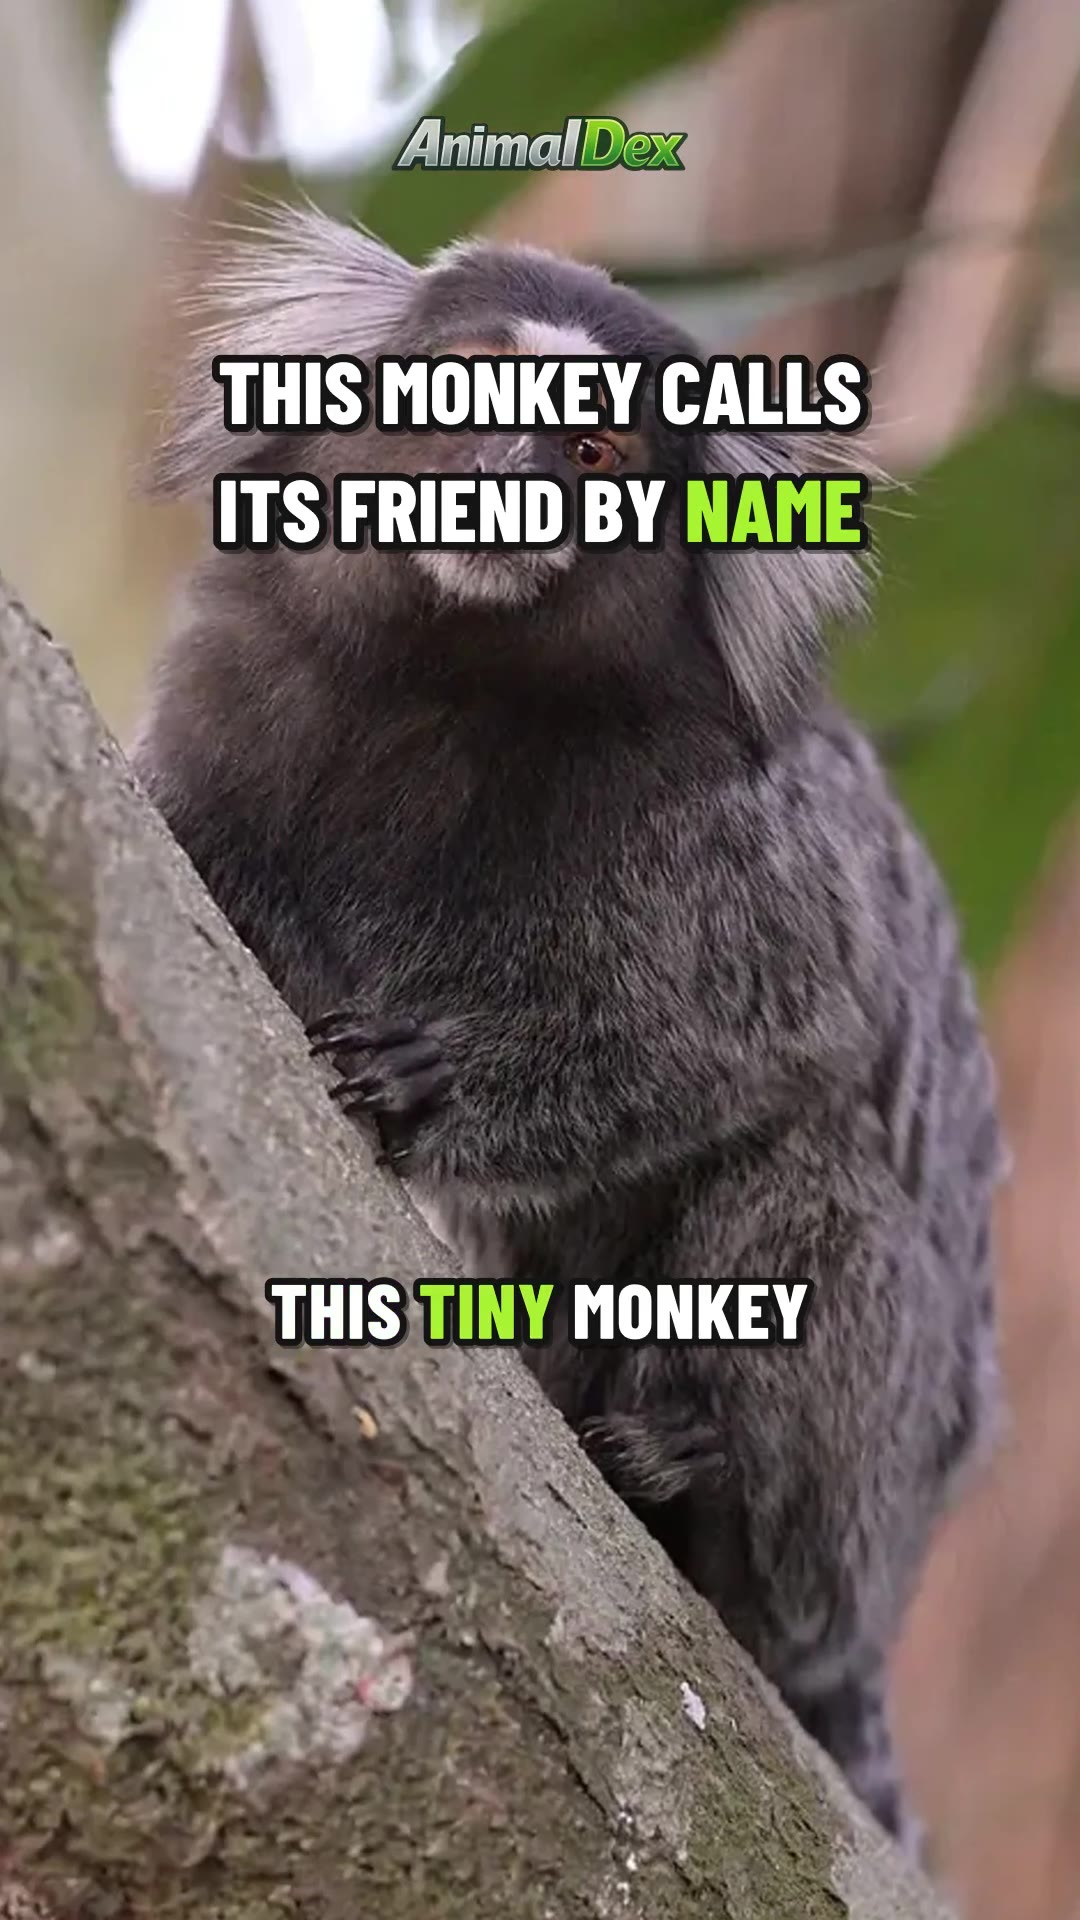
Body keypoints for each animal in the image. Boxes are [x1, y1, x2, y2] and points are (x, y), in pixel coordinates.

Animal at [132, 206, 1005, 1853]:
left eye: (595, 446)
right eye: (472, 389)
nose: (512, 465)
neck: (441, 691)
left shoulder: (734, 844)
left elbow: (771, 1040)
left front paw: (433, 1088)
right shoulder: (225, 712)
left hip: (865, 1516)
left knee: (821, 1185)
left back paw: (699, 1465)